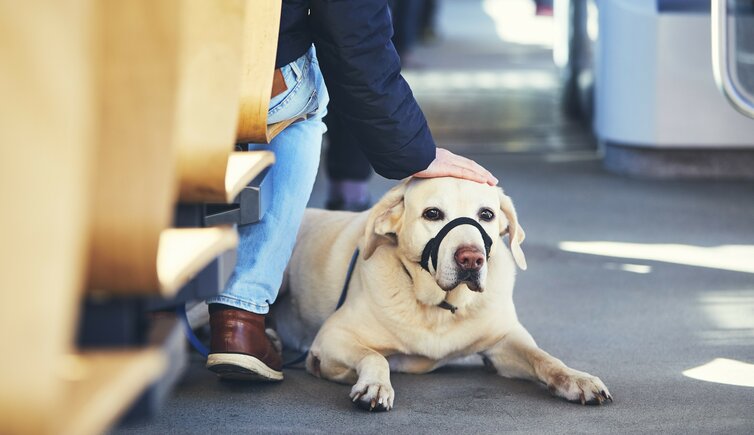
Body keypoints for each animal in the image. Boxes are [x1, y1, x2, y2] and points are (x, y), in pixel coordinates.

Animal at [272, 177, 612, 412]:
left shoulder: (504, 341)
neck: (440, 307)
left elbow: (544, 358)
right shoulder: (331, 338)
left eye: (486, 214)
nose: (471, 258)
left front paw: (576, 379)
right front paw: (375, 385)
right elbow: (374, 355)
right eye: (432, 213)